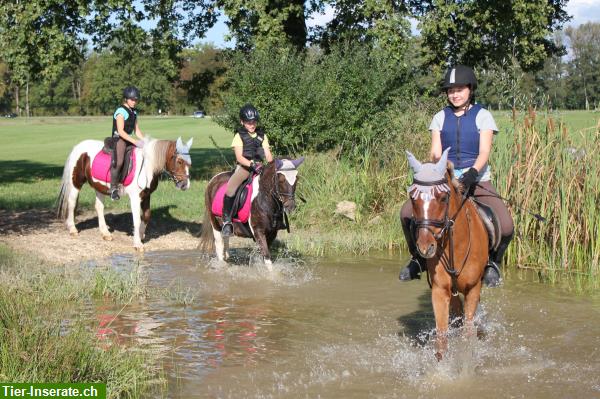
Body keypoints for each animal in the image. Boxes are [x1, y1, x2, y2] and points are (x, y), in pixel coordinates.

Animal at [55, 138, 192, 250]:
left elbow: (147, 215)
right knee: (72, 203)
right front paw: (137, 243)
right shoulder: (135, 198)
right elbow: (136, 219)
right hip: (76, 183)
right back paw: (73, 229)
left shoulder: (147, 195)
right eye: (180, 161)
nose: (185, 185)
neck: (147, 167)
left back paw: (105, 233)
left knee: (99, 207)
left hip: (98, 186)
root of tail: (77, 147)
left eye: (189, 163)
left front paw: (140, 235)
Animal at [406, 149, 490, 362]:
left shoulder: (473, 289)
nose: (425, 247)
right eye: (412, 198)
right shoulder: (440, 290)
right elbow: (442, 337)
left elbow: (468, 335)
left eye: (443, 198)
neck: (456, 246)